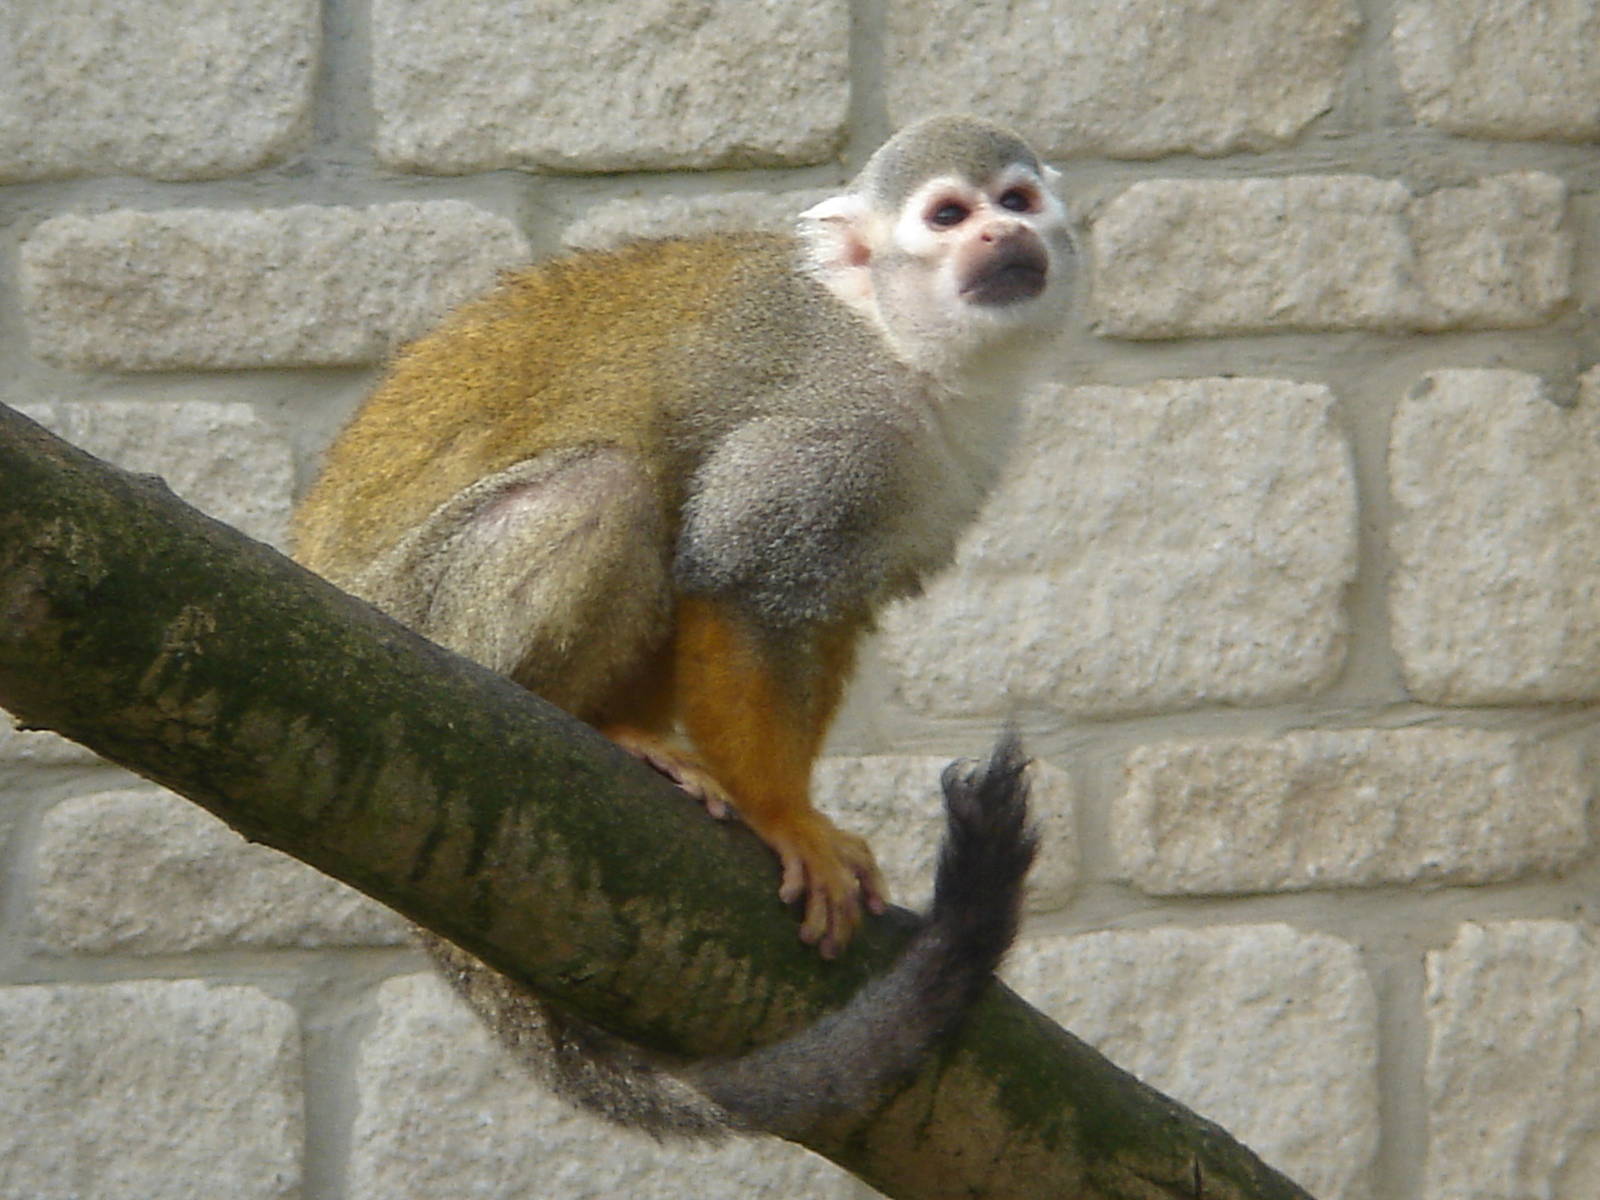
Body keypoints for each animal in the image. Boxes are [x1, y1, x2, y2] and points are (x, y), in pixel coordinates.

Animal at [292, 115, 1072, 1135]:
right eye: (947, 216)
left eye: (1016, 200)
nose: (1000, 234)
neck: (901, 346)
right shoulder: (830, 426)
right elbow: (737, 577)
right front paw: (784, 818)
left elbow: (823, 606)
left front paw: (806, 812)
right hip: (424, 619)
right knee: (607, 488)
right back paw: (585, 721)